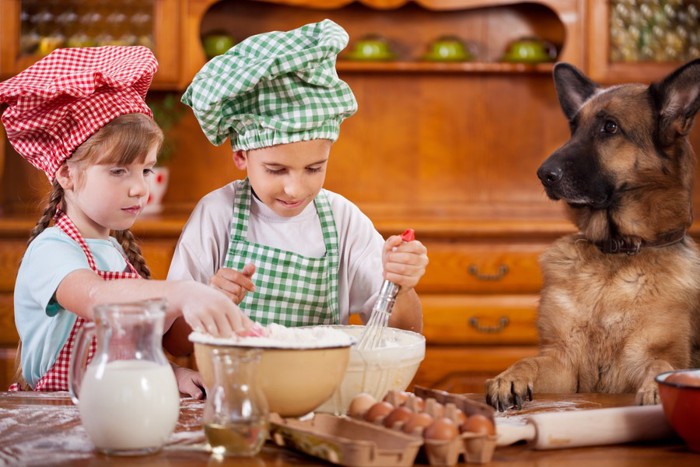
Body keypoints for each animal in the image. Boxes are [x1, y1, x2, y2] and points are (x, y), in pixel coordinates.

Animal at [484, 60, 700, 412]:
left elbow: (660, 365)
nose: (543, 174)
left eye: (609, 128)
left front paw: (655, 391)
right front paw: (508, 377)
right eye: (574, 127)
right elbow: (529, 361)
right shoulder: (562, 361)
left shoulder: (649, 355)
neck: (615, 253)